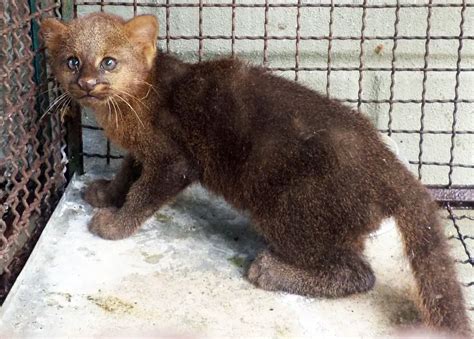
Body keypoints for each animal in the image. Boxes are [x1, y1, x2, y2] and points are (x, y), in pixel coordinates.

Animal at [40, 12, 470, 334]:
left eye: (109, 61)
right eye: (72, 61)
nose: (86, 83)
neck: (129, 109)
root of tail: (390, 166)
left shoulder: (172, 161)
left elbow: (142, 195)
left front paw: (113, 225)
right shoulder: (143, 153)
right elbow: (126, 176)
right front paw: (104, 194)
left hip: (290, 212)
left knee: (359, 274)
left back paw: (270, 271)